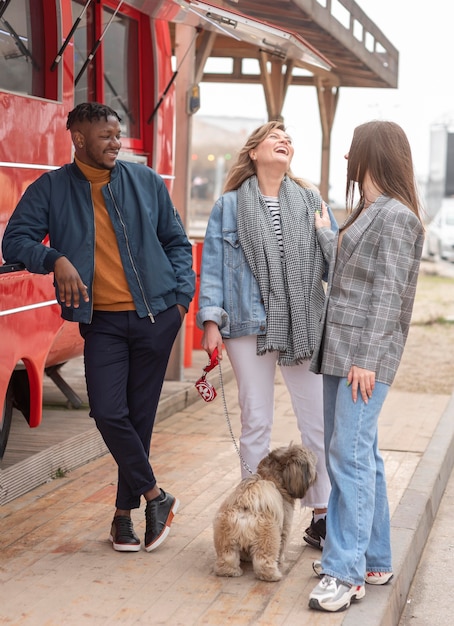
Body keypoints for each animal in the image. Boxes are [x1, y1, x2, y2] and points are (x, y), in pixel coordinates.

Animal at [212, 444, 316, 580]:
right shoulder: (285, 525)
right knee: (264, 560)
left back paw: (230, 571)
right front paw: (280, 559)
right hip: (268, 536)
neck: (272, 476)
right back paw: (273, 575)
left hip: (226, 537)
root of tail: (244, 511)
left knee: (227, 557)